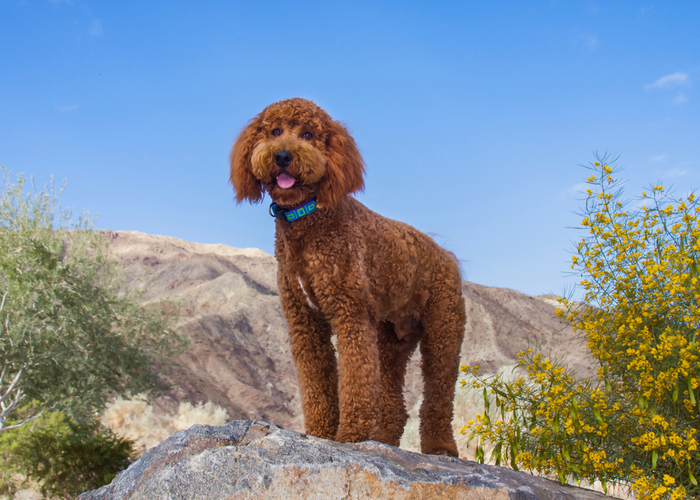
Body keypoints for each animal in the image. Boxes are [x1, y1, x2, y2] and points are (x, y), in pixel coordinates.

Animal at [230, 97, 468, 458]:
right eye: (274, 131)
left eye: (309, 134)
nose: (282, 155)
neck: (308, 220)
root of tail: (447, 255)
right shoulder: (304, 322)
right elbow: (316, 383)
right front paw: (319, 433)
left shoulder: (350, 313)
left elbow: (355, 378)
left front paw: (352, 435)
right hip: (391, 341)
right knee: (394, 402)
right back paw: (383, 440)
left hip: (443, 331)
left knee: (439, 396)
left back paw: (440, 447)